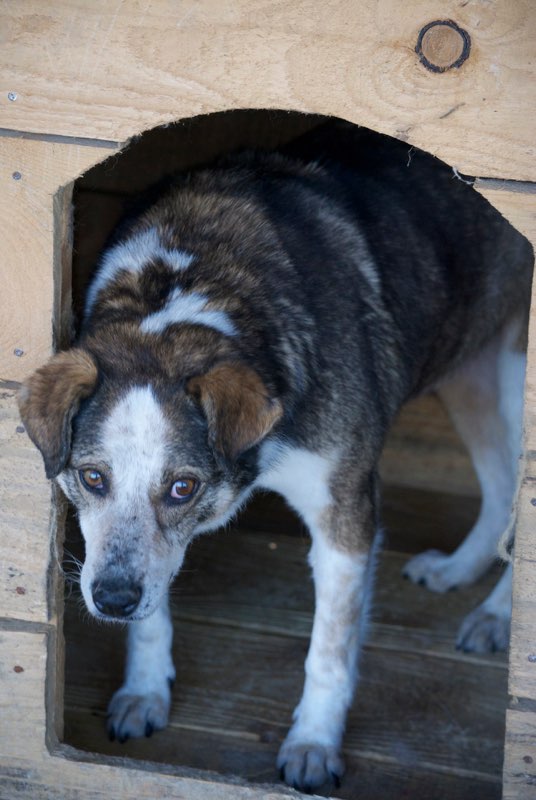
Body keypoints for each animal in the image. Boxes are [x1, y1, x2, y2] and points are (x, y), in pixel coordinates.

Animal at [16, 122, 532, 792]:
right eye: (92, 476)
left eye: (183, 487)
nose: (111, 601)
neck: (190, 293)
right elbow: (154, 611)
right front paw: (145, 690)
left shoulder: (344, 513)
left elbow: (328, 654)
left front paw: (313, 744)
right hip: (470, 372)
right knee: (497, 487)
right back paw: (460, 570)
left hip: (515, 379)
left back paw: (497, 614)